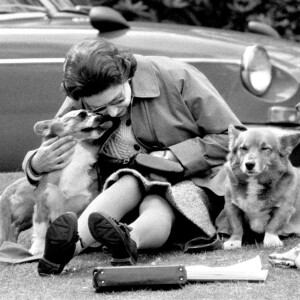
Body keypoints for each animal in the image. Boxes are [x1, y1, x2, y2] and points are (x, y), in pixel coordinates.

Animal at [0, 110, 113, 255]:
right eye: (81, 115)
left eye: (95, 112)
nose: (102, 116)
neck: (76, 157)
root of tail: (9, 188)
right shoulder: (42, 207)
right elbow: (41, 232)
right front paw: (37, 249)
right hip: (28, 208)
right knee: (14, 226)